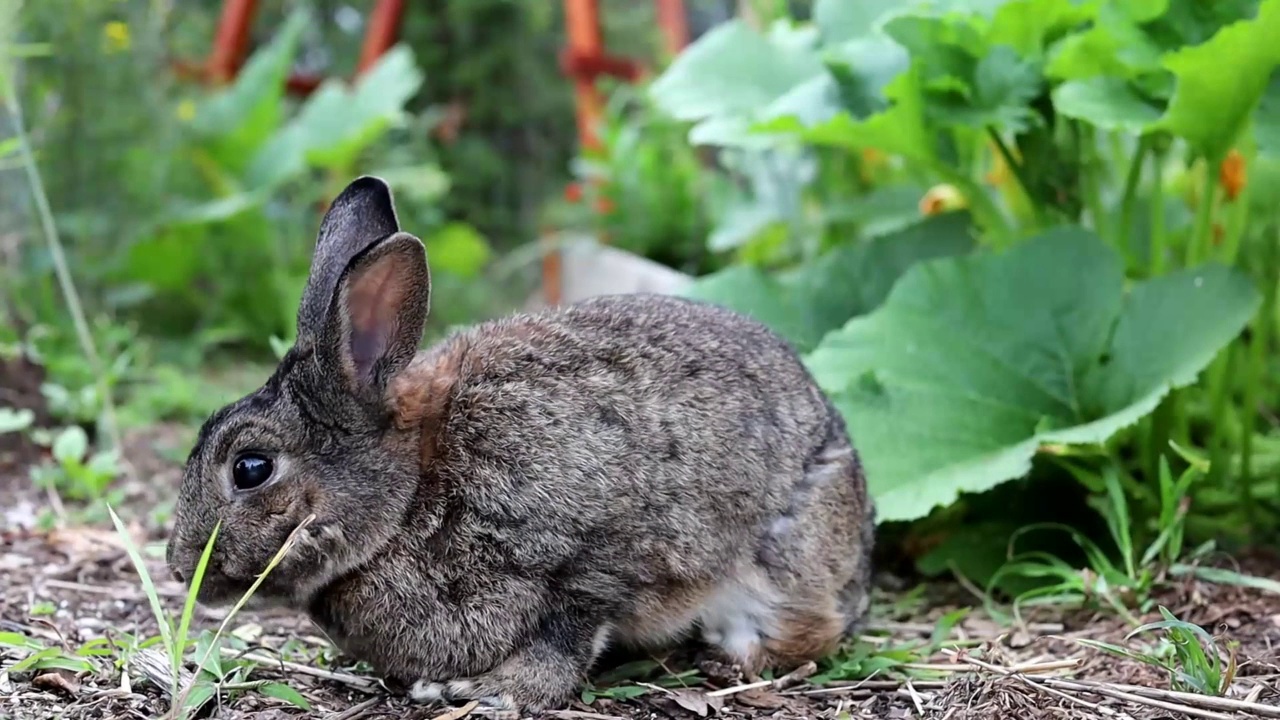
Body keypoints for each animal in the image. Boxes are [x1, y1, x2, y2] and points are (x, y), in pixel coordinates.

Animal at [165, 175, 875, 712]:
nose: (178, 567)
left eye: (251, 467)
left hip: (779, 560)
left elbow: (567, 632)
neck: (411, 489)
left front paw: (493, 691)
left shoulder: (597, 550)